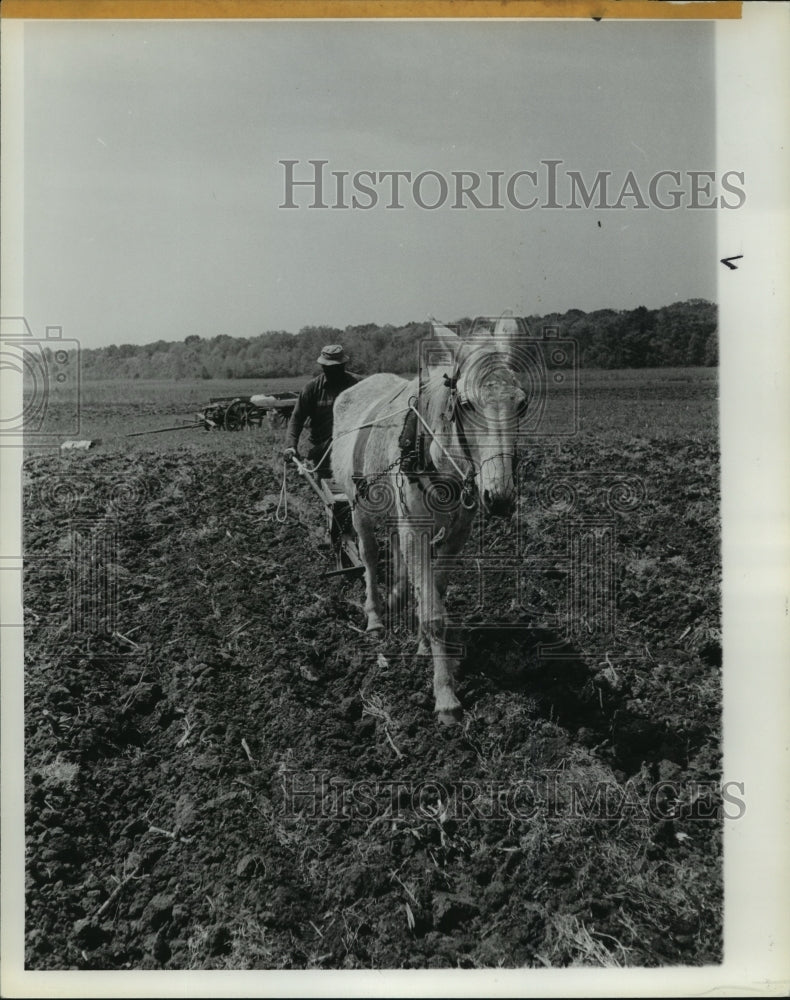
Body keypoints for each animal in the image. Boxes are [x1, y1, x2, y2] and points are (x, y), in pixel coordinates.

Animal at [332, 316, 528, 724]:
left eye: (521, 403)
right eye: (465, 404)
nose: (500, 497)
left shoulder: (457, 532)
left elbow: (434, 587)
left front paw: (425, 641)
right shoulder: (415, 527)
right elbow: (434, 610)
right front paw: (445, 696)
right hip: (359, 508)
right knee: (370, 557)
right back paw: (376, 615)